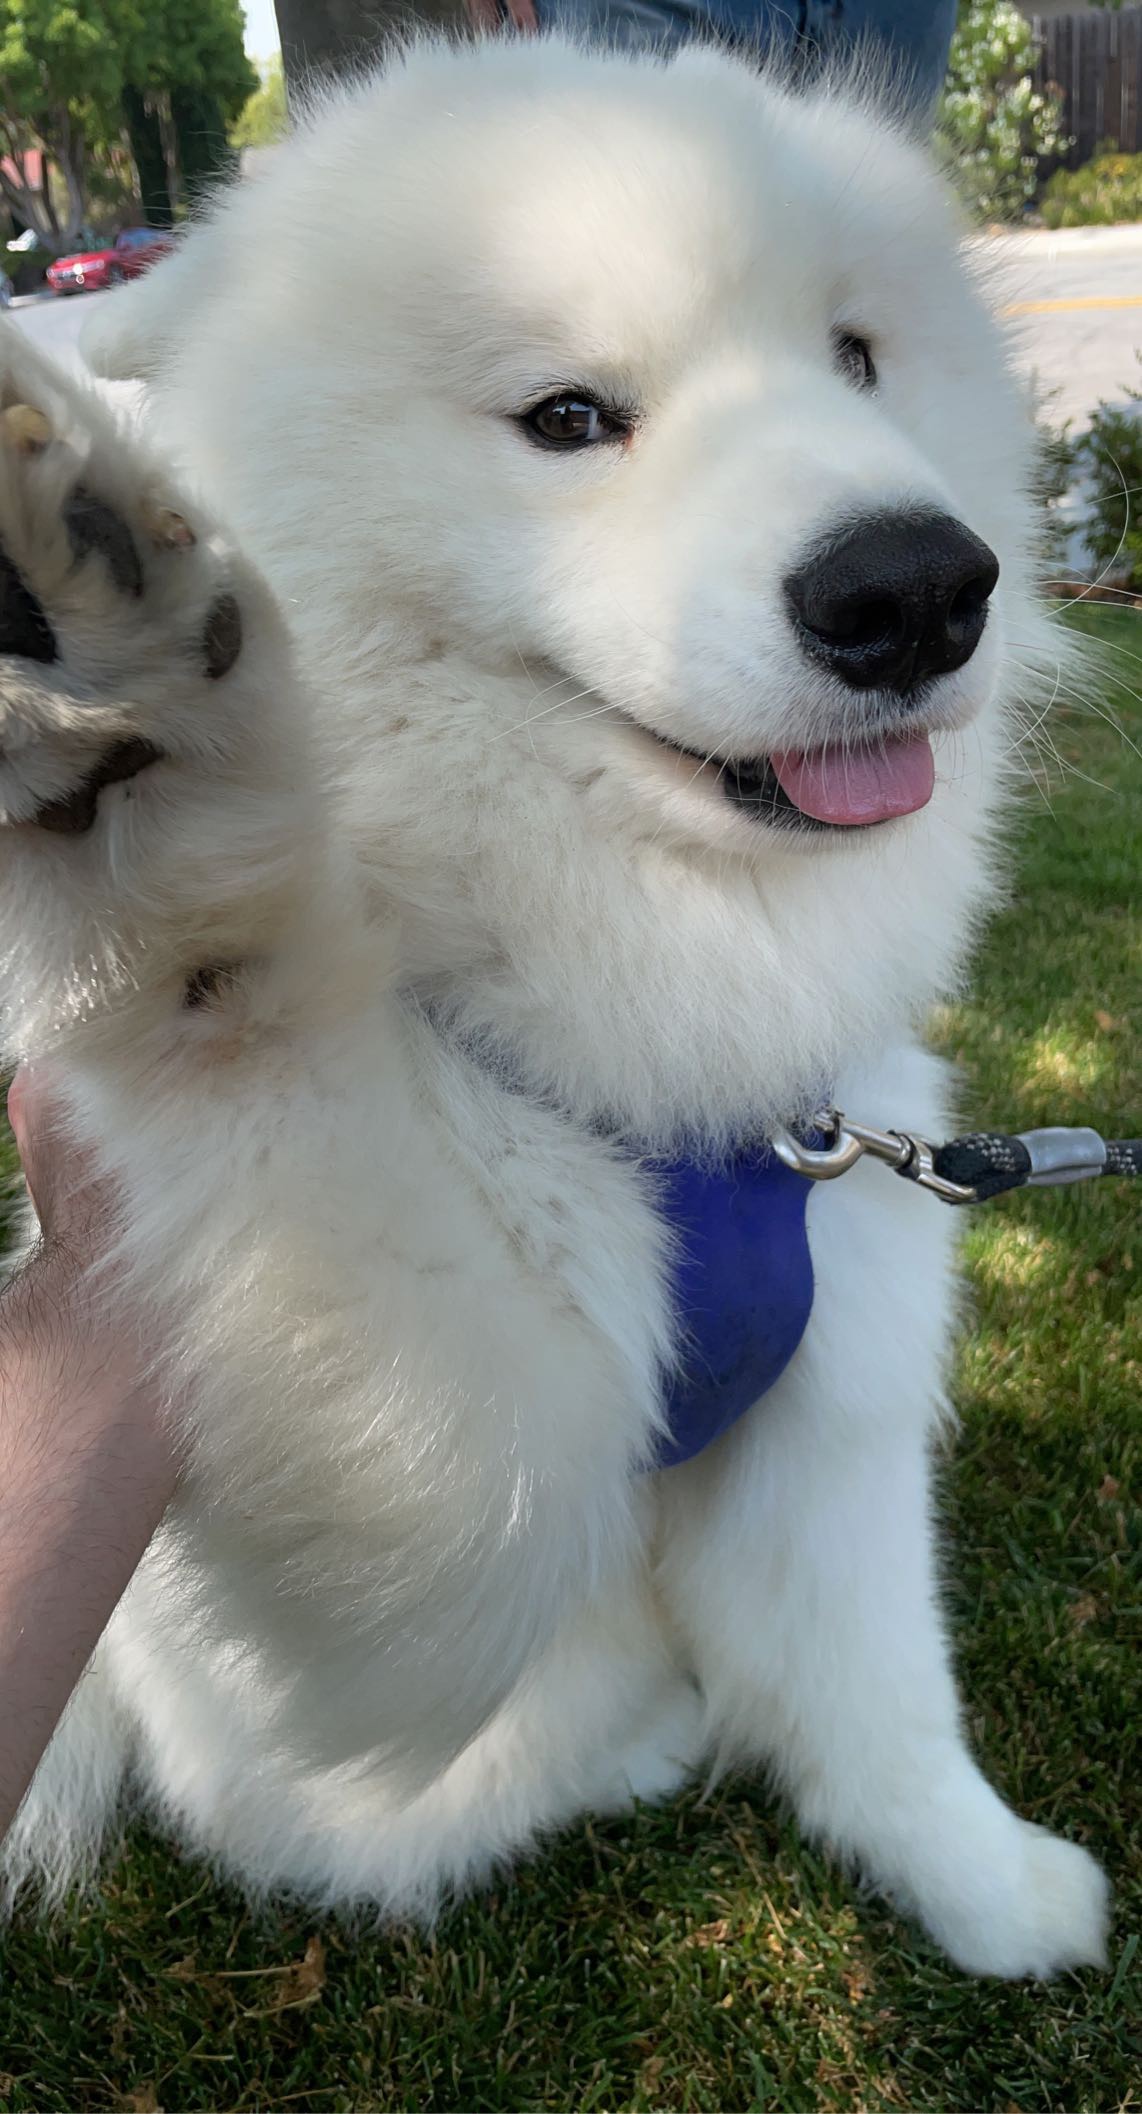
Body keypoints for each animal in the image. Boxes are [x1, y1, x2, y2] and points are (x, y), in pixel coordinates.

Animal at [0, 37, 1108, 1978]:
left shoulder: (840, 1386)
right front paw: (162, 797)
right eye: (569, 418)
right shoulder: (447, 1496)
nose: (914, 584)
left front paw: (978, 1879)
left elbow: (883, 1687)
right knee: (391, 1805)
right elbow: (272, 1061)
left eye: (855, 357)